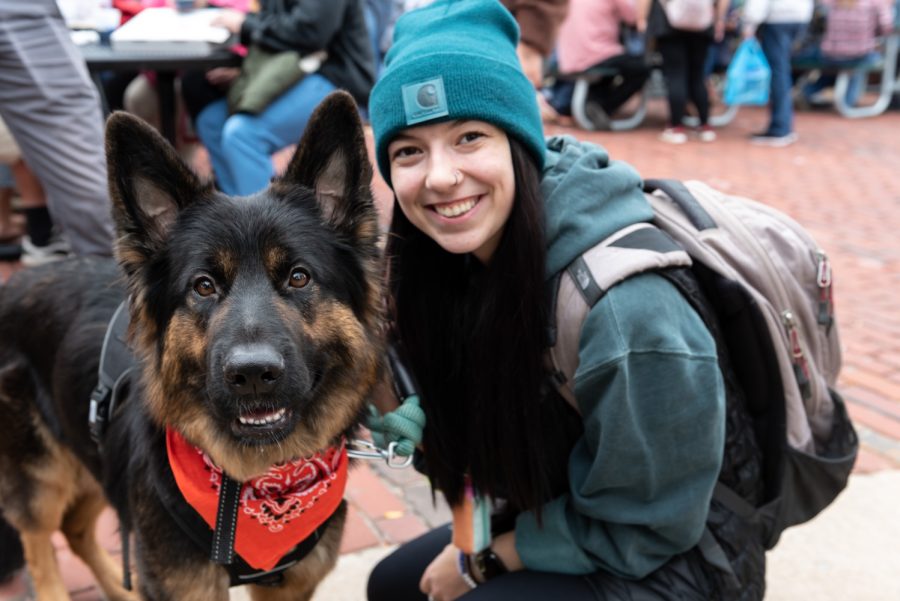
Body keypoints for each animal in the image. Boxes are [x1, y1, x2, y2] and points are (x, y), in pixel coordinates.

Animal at [0, 90, 384, 600]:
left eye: (298, 277)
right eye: (203, 286)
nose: (253, 375)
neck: (250, 486)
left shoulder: (289, 586)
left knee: (76, 530)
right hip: (40, 481)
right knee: (41, 547)